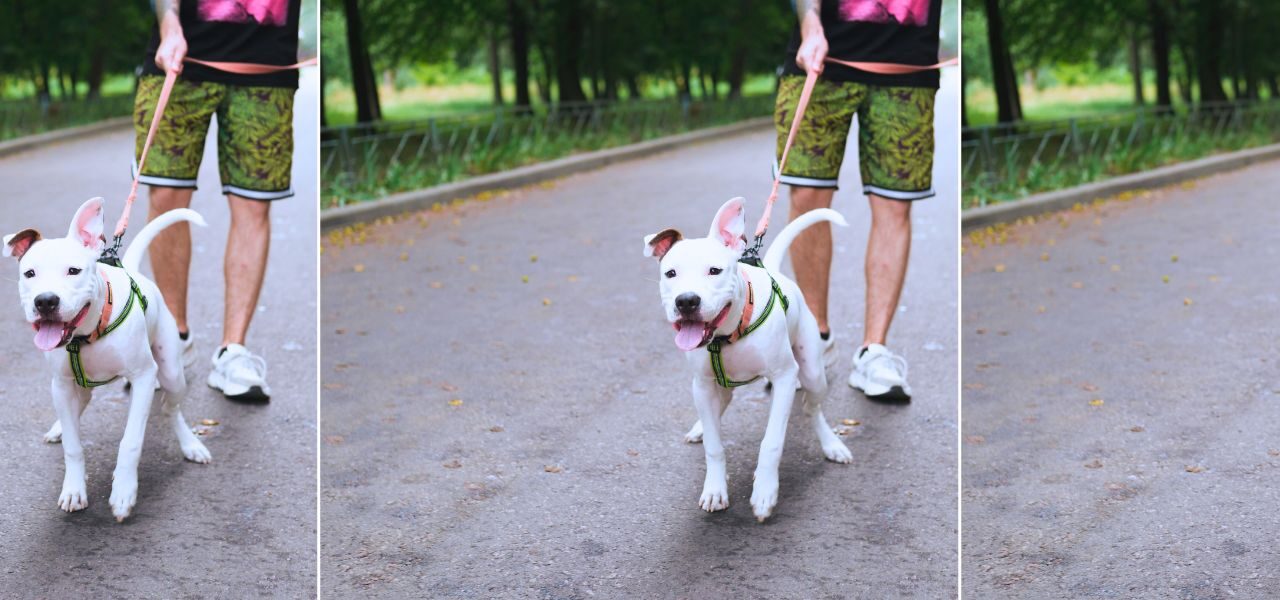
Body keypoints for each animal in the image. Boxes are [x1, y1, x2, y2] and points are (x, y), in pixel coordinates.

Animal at [5, 197, 209, 519]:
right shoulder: (61, 385)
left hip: (171, 373)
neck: (86, 334)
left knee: (170, 408)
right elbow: (73, 446)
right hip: (76, 387)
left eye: (73, 270)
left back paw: (190, 444)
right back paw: (59, 427)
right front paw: (74, 489)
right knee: (81, 406)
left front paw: (124, 490)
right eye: (30, 274)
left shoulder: (143, 377)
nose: (46, 301)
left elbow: (131, 442)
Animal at [645, 197, 855, 519]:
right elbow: (714, 446)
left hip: (812, 373)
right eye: (671, 274)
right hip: (716, 388)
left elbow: (772, 442)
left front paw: (765, 491)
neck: (727, 335)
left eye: (714, 270)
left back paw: (831, 444)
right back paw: (700, 427)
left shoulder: (784, 378)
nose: (687, 301)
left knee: (812, 408)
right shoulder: (703, 385)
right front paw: (715, 489)